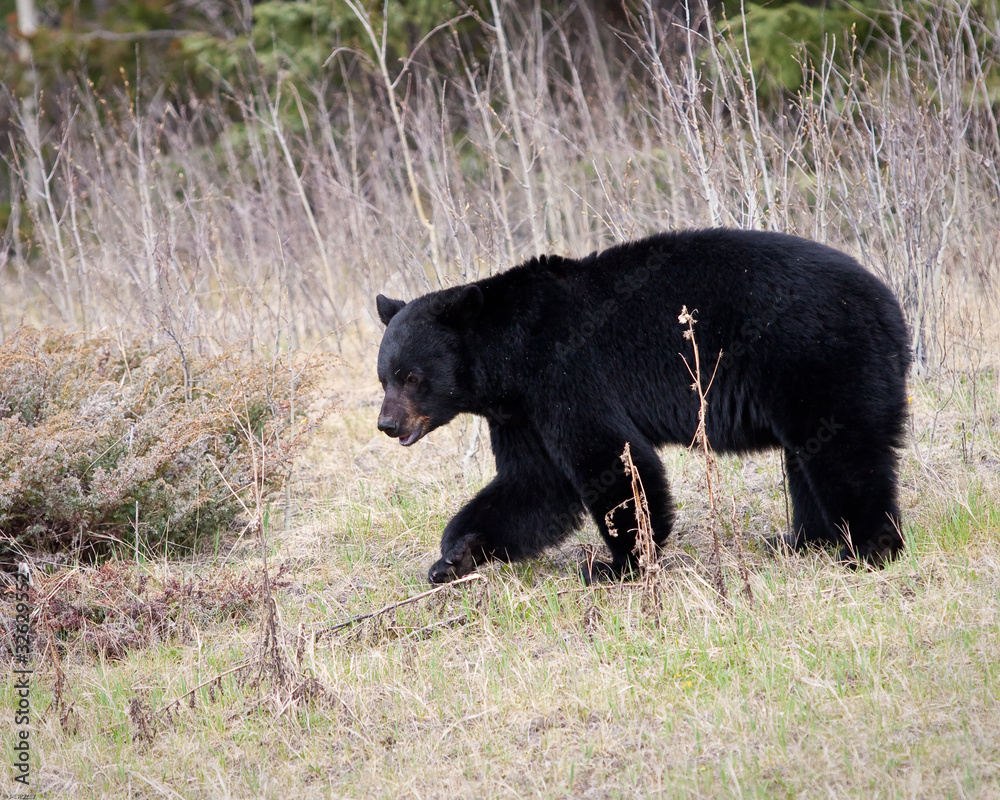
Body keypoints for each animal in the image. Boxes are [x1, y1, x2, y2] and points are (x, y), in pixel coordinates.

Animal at [375, 229, 910, 584]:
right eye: (384, 376)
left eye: (412, 377)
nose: (387, 424)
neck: (509, 352)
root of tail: (891, 308)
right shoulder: (520, 410)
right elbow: (534, 485)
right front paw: (454, 555)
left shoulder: (565, 374)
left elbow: (612, 459)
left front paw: (618, 565)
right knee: (806, 456)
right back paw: (800, 541)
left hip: (819, 356)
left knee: (846, 452)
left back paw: (869, 548)